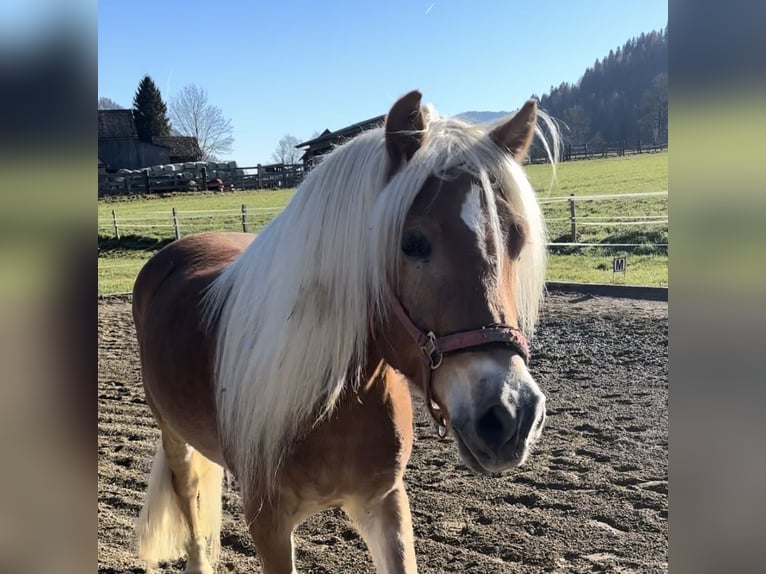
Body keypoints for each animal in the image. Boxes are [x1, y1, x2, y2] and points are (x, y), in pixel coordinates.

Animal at [134, 90, 560, 574]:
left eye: (517, 239)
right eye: (412, 243)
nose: (511, 415)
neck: (328, 399)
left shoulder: (384, 503)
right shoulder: (269, 525)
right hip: (174, 438)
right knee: (188, 498)